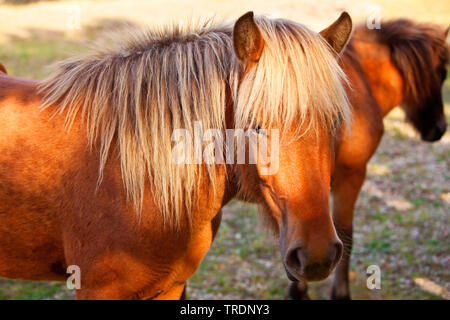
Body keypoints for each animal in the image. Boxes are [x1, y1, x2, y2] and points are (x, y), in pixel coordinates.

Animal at [290, 19, 448, 300]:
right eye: (442, 73)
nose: (440, 129)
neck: (363, 81)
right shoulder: (351, 176)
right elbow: (345, 235)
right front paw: (340, 293)